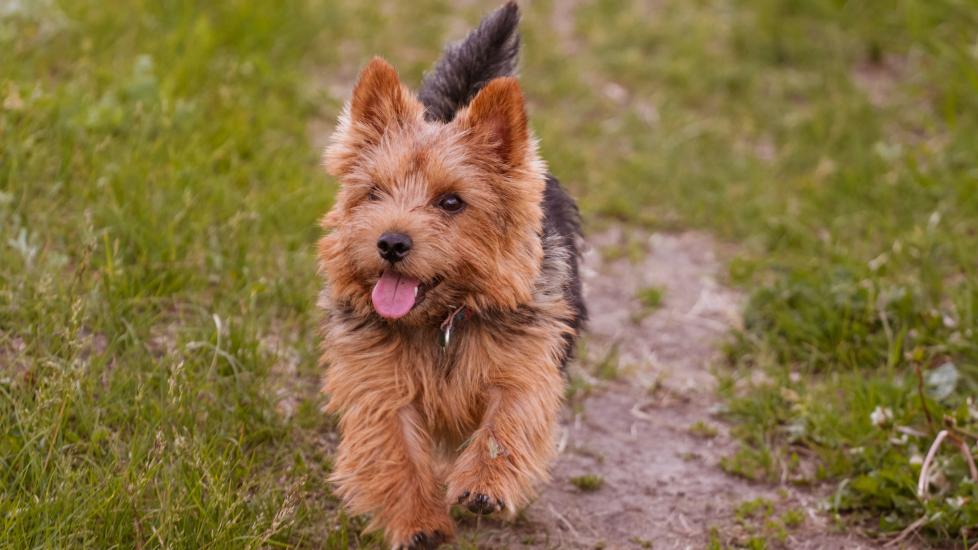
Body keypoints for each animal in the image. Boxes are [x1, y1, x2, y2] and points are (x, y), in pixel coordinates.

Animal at [316, 3, 584, 548]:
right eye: (374, 192)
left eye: (452, 201)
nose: (391, 243)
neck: (442, 321)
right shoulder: (377, 384)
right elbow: (392, 449)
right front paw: (418, 522)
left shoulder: (524, 363)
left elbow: (510, 418)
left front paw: (484, 483)